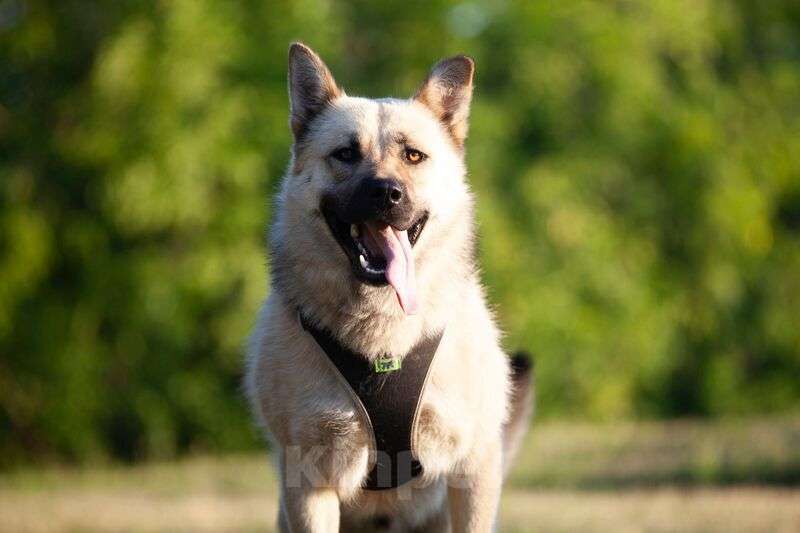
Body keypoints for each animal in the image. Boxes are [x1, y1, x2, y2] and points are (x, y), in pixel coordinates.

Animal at [244, 42, 532, 532]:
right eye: (345, 154)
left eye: (413, 156)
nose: (386, 193)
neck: (383, 339)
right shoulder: (309, 481)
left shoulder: (474, 465)